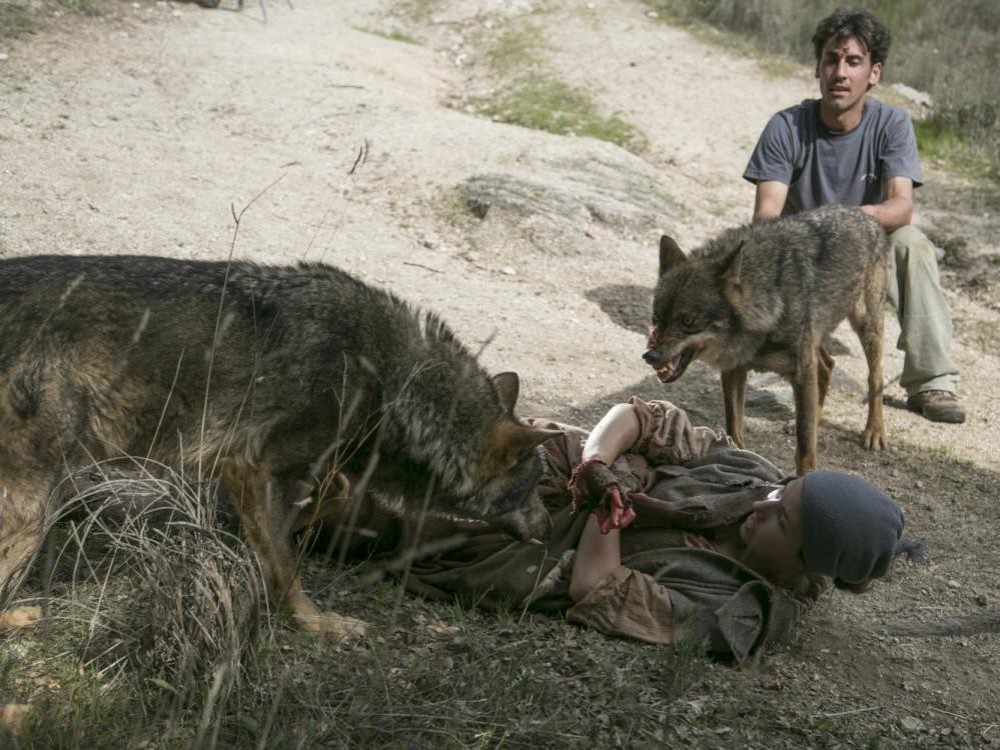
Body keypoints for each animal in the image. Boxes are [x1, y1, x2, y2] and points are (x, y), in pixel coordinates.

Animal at [0, 255, 556, 638]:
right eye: (537, 486)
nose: (550, 526)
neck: (393, 382)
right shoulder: (255, 466)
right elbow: (289, 567)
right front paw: (319, 625)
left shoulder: (254, 472)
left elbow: (305, 518)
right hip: (37, 504)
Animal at [642, 205, 890, 474]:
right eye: (656, 318)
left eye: (687, 321)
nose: (650, 356)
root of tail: (862, 213)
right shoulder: (734, 369)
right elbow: (734, 428)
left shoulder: (801, 371)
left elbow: (805, 449)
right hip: (816, 336)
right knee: (827, 366)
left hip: (865, 325)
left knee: (875, 375)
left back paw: (874, 431)